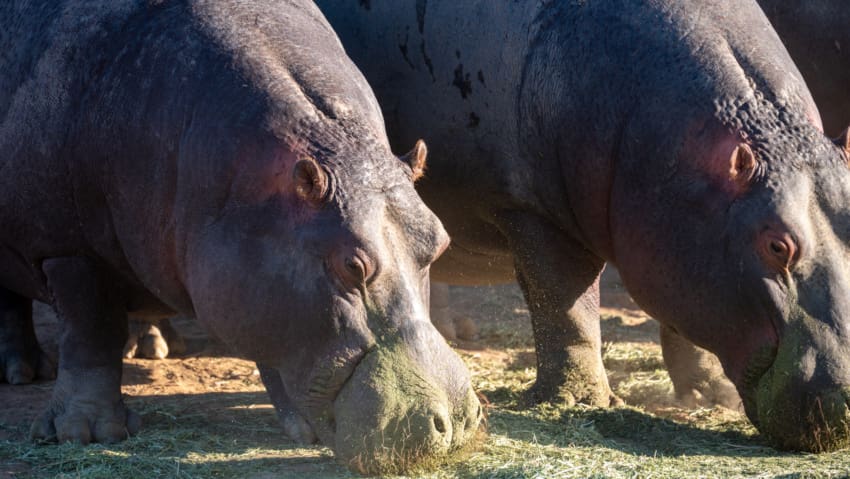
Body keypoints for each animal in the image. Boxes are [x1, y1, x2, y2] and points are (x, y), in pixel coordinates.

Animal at [0, 0, 480, 473]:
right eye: (352, 265)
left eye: (438, 241)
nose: (456, 420)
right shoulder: (65, 250)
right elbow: (89, 333)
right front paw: (86, 434)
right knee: (16, 304)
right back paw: (23, 373)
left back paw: (155, 347)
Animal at [315, 0, 850, 451]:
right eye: (777, 246)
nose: (846, 398)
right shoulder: (531, 210)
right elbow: (565, 306)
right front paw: (579, 400)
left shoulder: (670, 238)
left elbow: (678, 318)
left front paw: (708, 395)